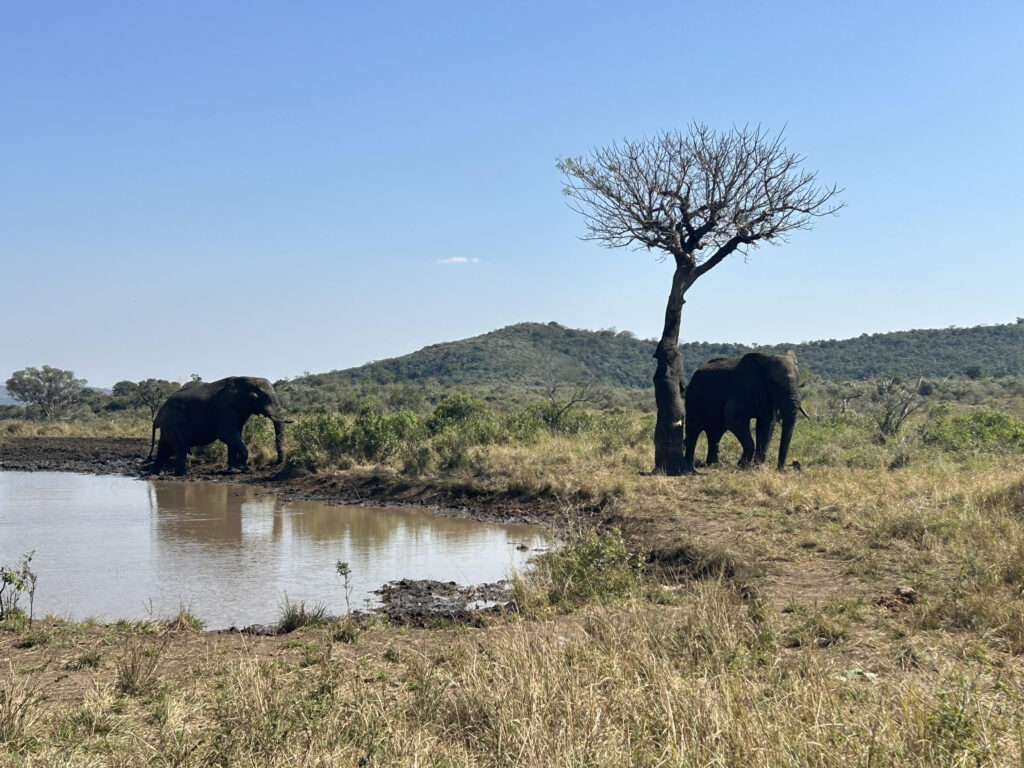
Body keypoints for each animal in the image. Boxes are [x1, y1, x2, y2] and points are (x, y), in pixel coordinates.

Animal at [147, 376, 291, 476]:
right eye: (265, 398)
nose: (274, 463)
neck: (247, 379)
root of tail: (158, 414)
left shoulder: (239, 409)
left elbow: (236, 435)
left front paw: (234, 470)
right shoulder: (225, 408)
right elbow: (226, 434)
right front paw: (242, 468)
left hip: (168, 426)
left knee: (165, 448)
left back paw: (156, 473)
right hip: (173, 423)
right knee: (180, 448)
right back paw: (180, 475)